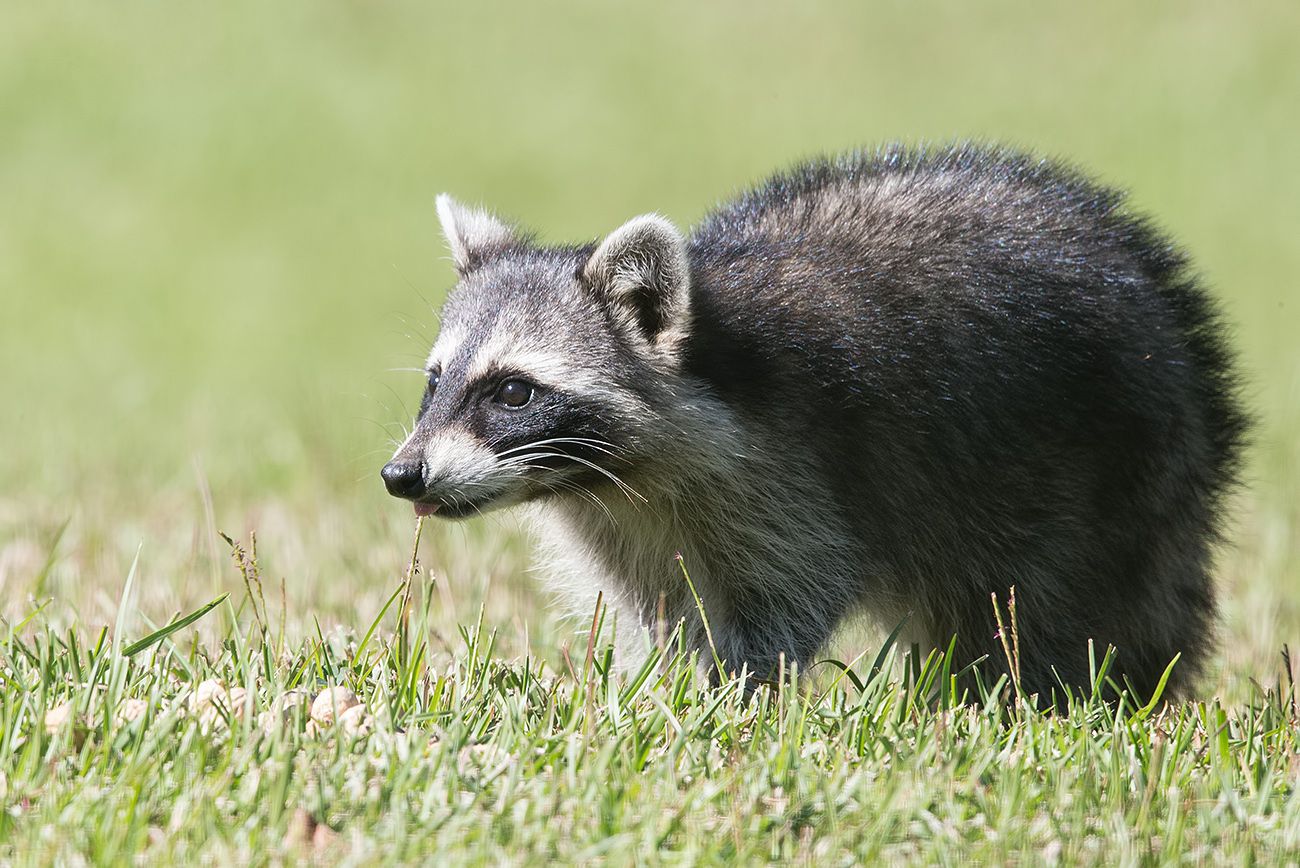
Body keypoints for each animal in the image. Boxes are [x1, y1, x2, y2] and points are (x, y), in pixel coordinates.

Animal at [382, 143, 1246, 702]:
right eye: (436, 382)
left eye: (512, 391)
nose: (402, 475)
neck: (620, 480)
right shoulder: (629, 527)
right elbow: (660, 613)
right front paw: (656, 693)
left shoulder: (798, 476)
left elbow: (786, 600)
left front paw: (726, 703)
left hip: (1103, 473)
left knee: (1050, 614)